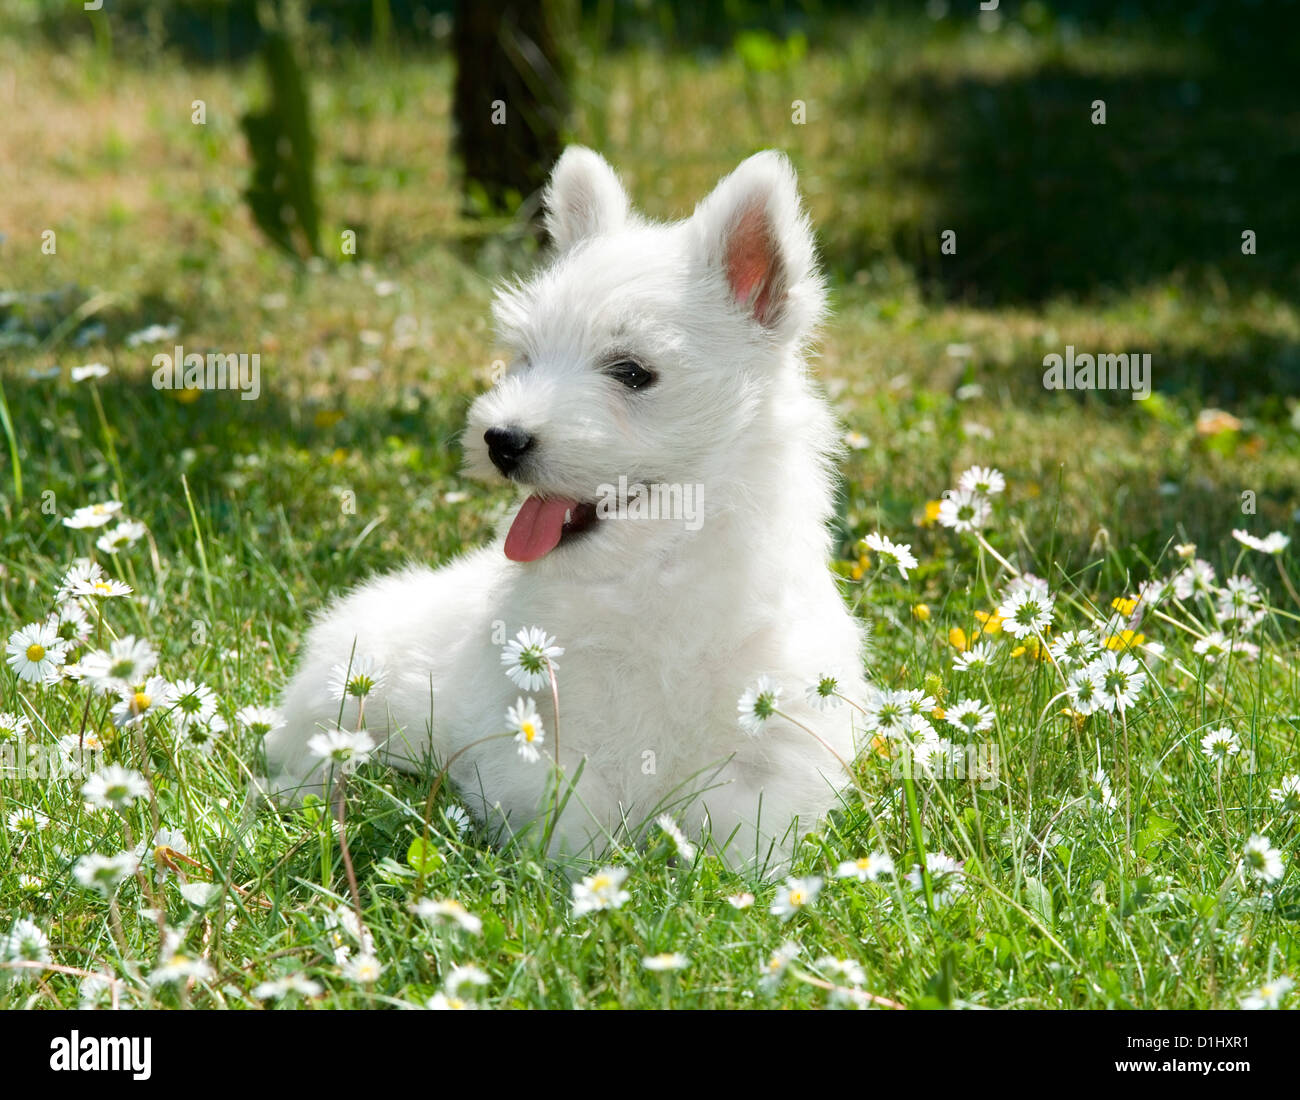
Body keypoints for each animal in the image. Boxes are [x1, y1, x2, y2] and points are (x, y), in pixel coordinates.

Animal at [266, 148, 863, 868]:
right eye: (525, 358)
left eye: (631, 371)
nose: (502, 440)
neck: (653, 577)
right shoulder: (539, 741)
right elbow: (574, 820)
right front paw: (576, 877)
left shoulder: (775, 749)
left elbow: (746, 831)